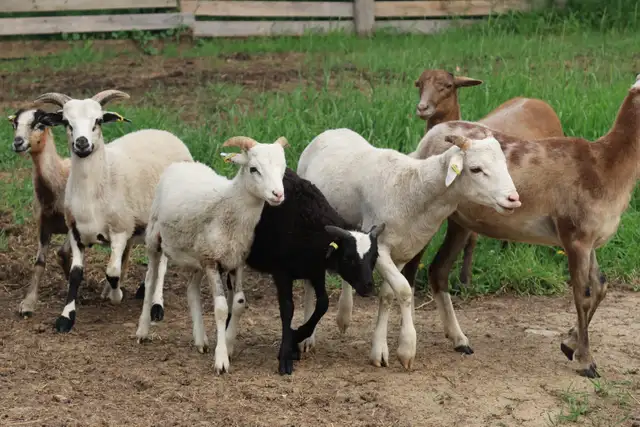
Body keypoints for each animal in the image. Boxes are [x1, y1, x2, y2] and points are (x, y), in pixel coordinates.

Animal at [8, 108, 73, 317]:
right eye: (15, 124)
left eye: (40, 124)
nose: (18, 142)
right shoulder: (43, 223)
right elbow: (39, 263)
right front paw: (28, 303)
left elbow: (62, 253)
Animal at [33, 90, 194, 333]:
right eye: (67, 123)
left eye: (98, 121)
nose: (82, 143)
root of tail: (167, 134)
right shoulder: (76, 232)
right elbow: (75, 274)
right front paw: (66, 317)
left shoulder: (120, 231)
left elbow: (113, 271)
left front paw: (116, 295)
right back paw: (143, 289)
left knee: (164, 263)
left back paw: (156, 305)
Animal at [135, 135, 289, 375]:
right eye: (253, 169)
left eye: (282, 168)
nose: (278, 195)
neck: (229, 206)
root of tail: (181, 164)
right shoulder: (211, 261)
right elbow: (221, 308)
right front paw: (221, 359)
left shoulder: (236, 260)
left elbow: (239, 303)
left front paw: (229, 344)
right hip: (154, 237)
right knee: (151, 280)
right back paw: (142, 331)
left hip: (197, 254)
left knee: (191, 290)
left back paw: (200, 340)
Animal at [297, 128, 521, 369]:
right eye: (476, 169)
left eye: (504, 164)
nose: (513, 199)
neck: (414, 190)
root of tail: (333, 130)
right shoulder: (381, 248)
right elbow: (404, 290)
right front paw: (406, 348)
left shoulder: (402, 252)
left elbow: (388, 295)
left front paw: (379, 350)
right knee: (310, 280)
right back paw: (307, 338)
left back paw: (344, 316)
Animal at [407, 69, 565, 287]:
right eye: (419, 84)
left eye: (448, 86)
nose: (422, 108)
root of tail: (534, 100)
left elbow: (471, 239)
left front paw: (465, 280)